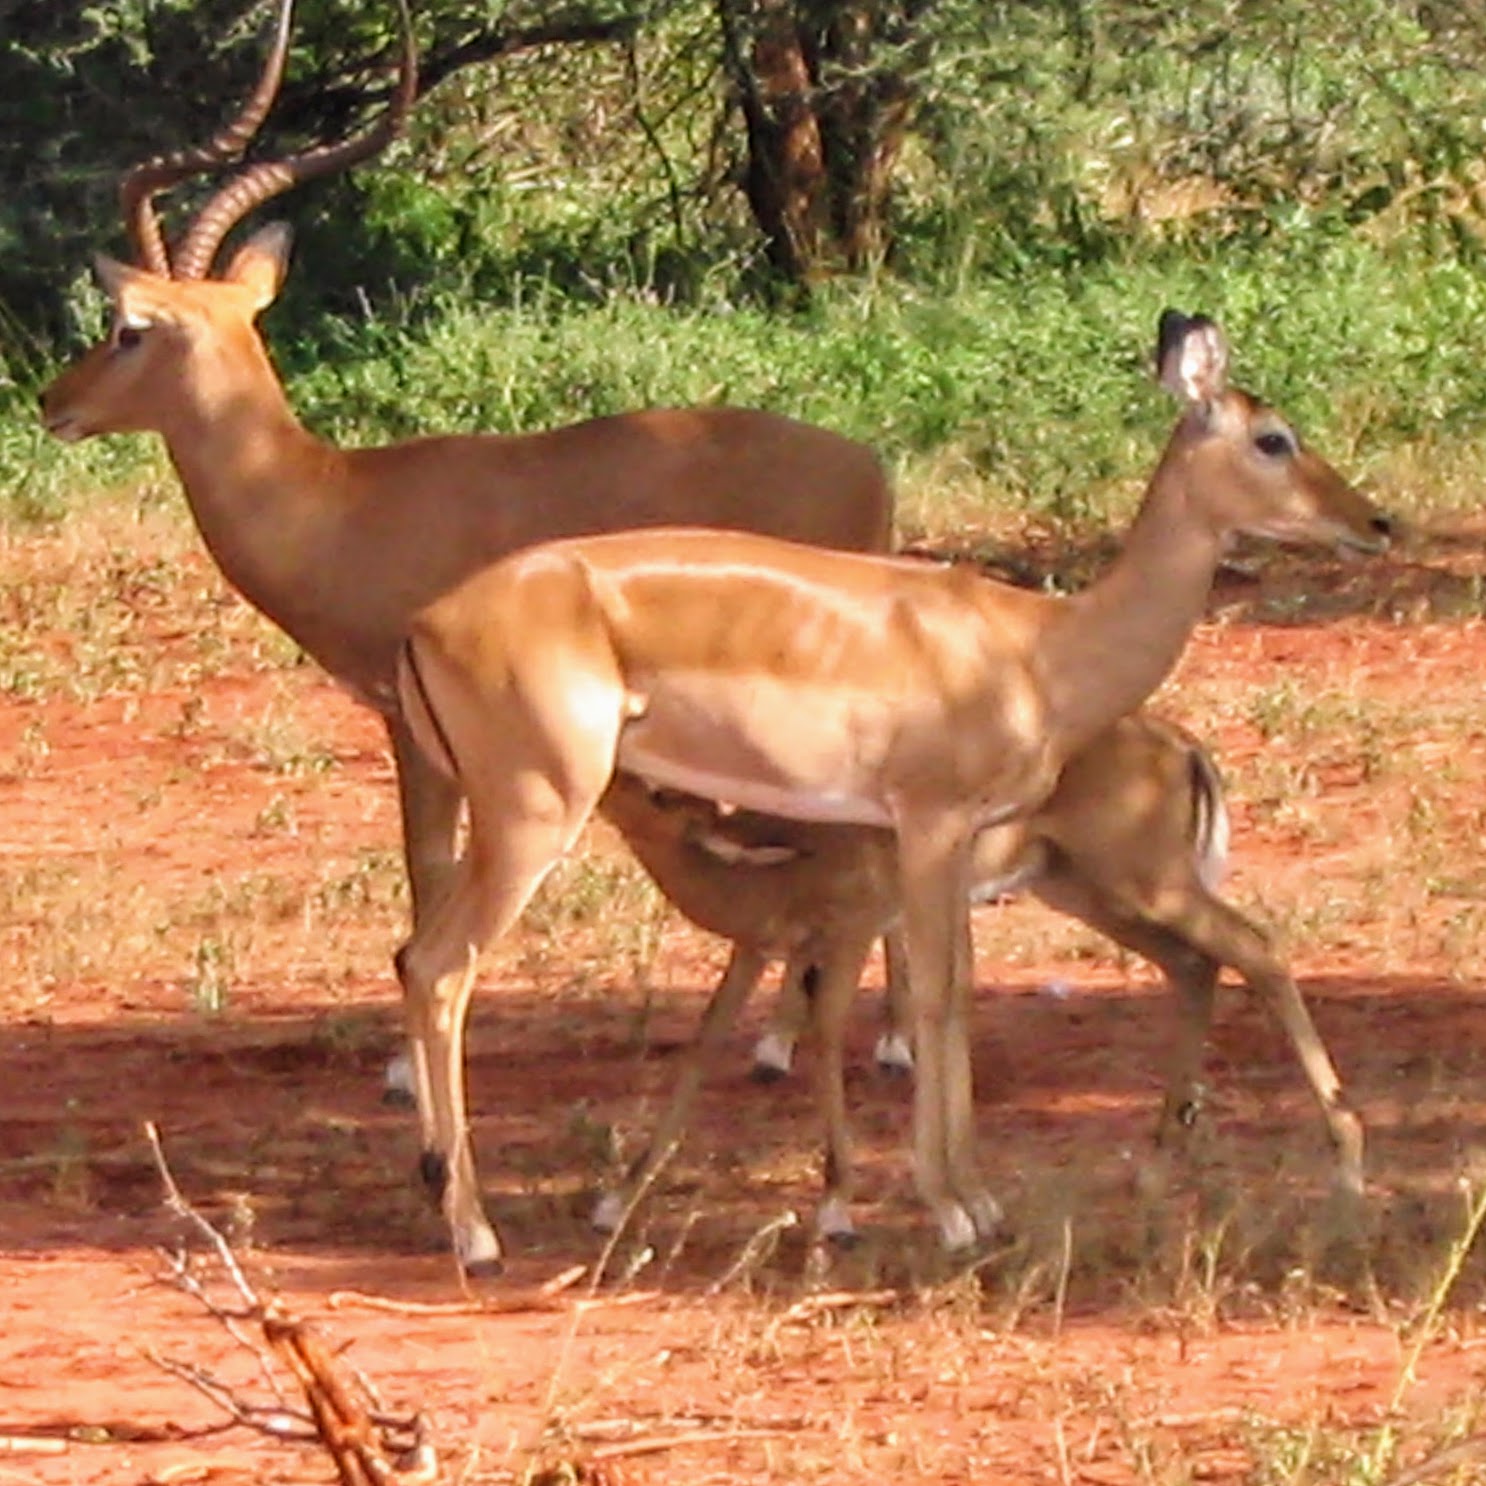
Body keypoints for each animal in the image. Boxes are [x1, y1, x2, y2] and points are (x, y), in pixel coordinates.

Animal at [595, 711, 1364, 1243]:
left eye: (660, 793)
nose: (611, 767)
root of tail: (1182, 745)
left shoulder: (848, 933)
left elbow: (833, 1036)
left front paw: (843, 1207)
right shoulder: (759, 948)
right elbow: (704, 1046)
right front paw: (618, 1198)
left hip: (1146, 883)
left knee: (1257, 948)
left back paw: (1348, 1164)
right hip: (1092, 890)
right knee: (1194, 966)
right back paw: (1154, 1165)